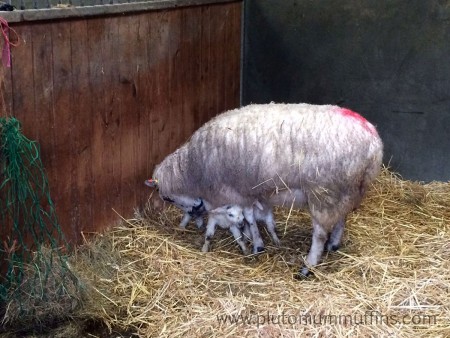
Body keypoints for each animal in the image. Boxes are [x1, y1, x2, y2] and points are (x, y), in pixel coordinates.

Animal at [152, 103, 384, 278]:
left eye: (168, 198)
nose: (193, 216)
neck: (192, 169)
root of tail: (373, 139)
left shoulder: (237, 192)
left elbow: (247, 219)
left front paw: (255, 244)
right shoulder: (247, 193)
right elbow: (251, 218)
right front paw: (255, 239)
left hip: (324, 193)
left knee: (319, 235)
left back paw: (307, 267)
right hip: (346, 190)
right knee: (342, 216)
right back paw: (334, 244)